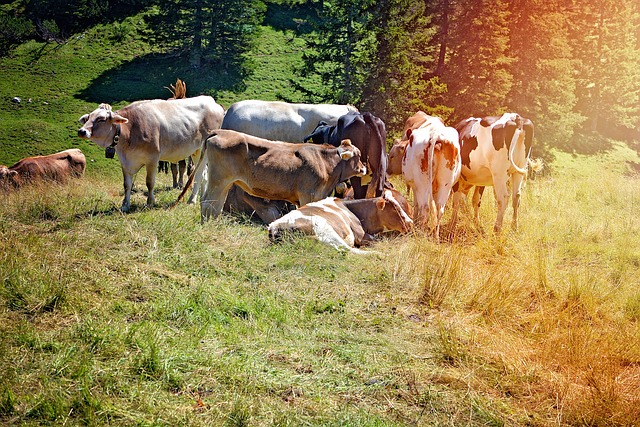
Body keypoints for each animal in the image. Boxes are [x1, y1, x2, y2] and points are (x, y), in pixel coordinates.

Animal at [78, 95, 225, 212]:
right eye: (88, 118)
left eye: (101, 119)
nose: (81, 131)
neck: (129, 130)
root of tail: (211, 101)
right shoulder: (125, 161)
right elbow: (127, 184)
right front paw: (125, 205)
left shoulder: (152, 159)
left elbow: (149, 182)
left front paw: (150, 203)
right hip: (196, 151)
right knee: (204, 174)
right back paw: (202, 199)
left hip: (203, 149)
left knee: (198, 174)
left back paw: (192, 200)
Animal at [175, 130, 368, 221]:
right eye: (358, 155)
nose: (364, 169)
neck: (325, 161)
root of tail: (220, 131)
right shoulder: (308, 194)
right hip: (219, 179)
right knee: (208, 201)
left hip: (225, 182)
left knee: (216, 204)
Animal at [266, 190, 412, 254]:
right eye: (395, 208)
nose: (410, 222)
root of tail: (274, 226)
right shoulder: (361, 235)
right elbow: (378, 240)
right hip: (326, 230)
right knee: (348, 249)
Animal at [400, 113, 460, 241]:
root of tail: (435, 135)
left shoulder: (415, 186)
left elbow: (416, 205)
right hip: (446, 184)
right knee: (439, 209)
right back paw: (435, 237)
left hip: (422, 184)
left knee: (425, 208)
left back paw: (420, 233)